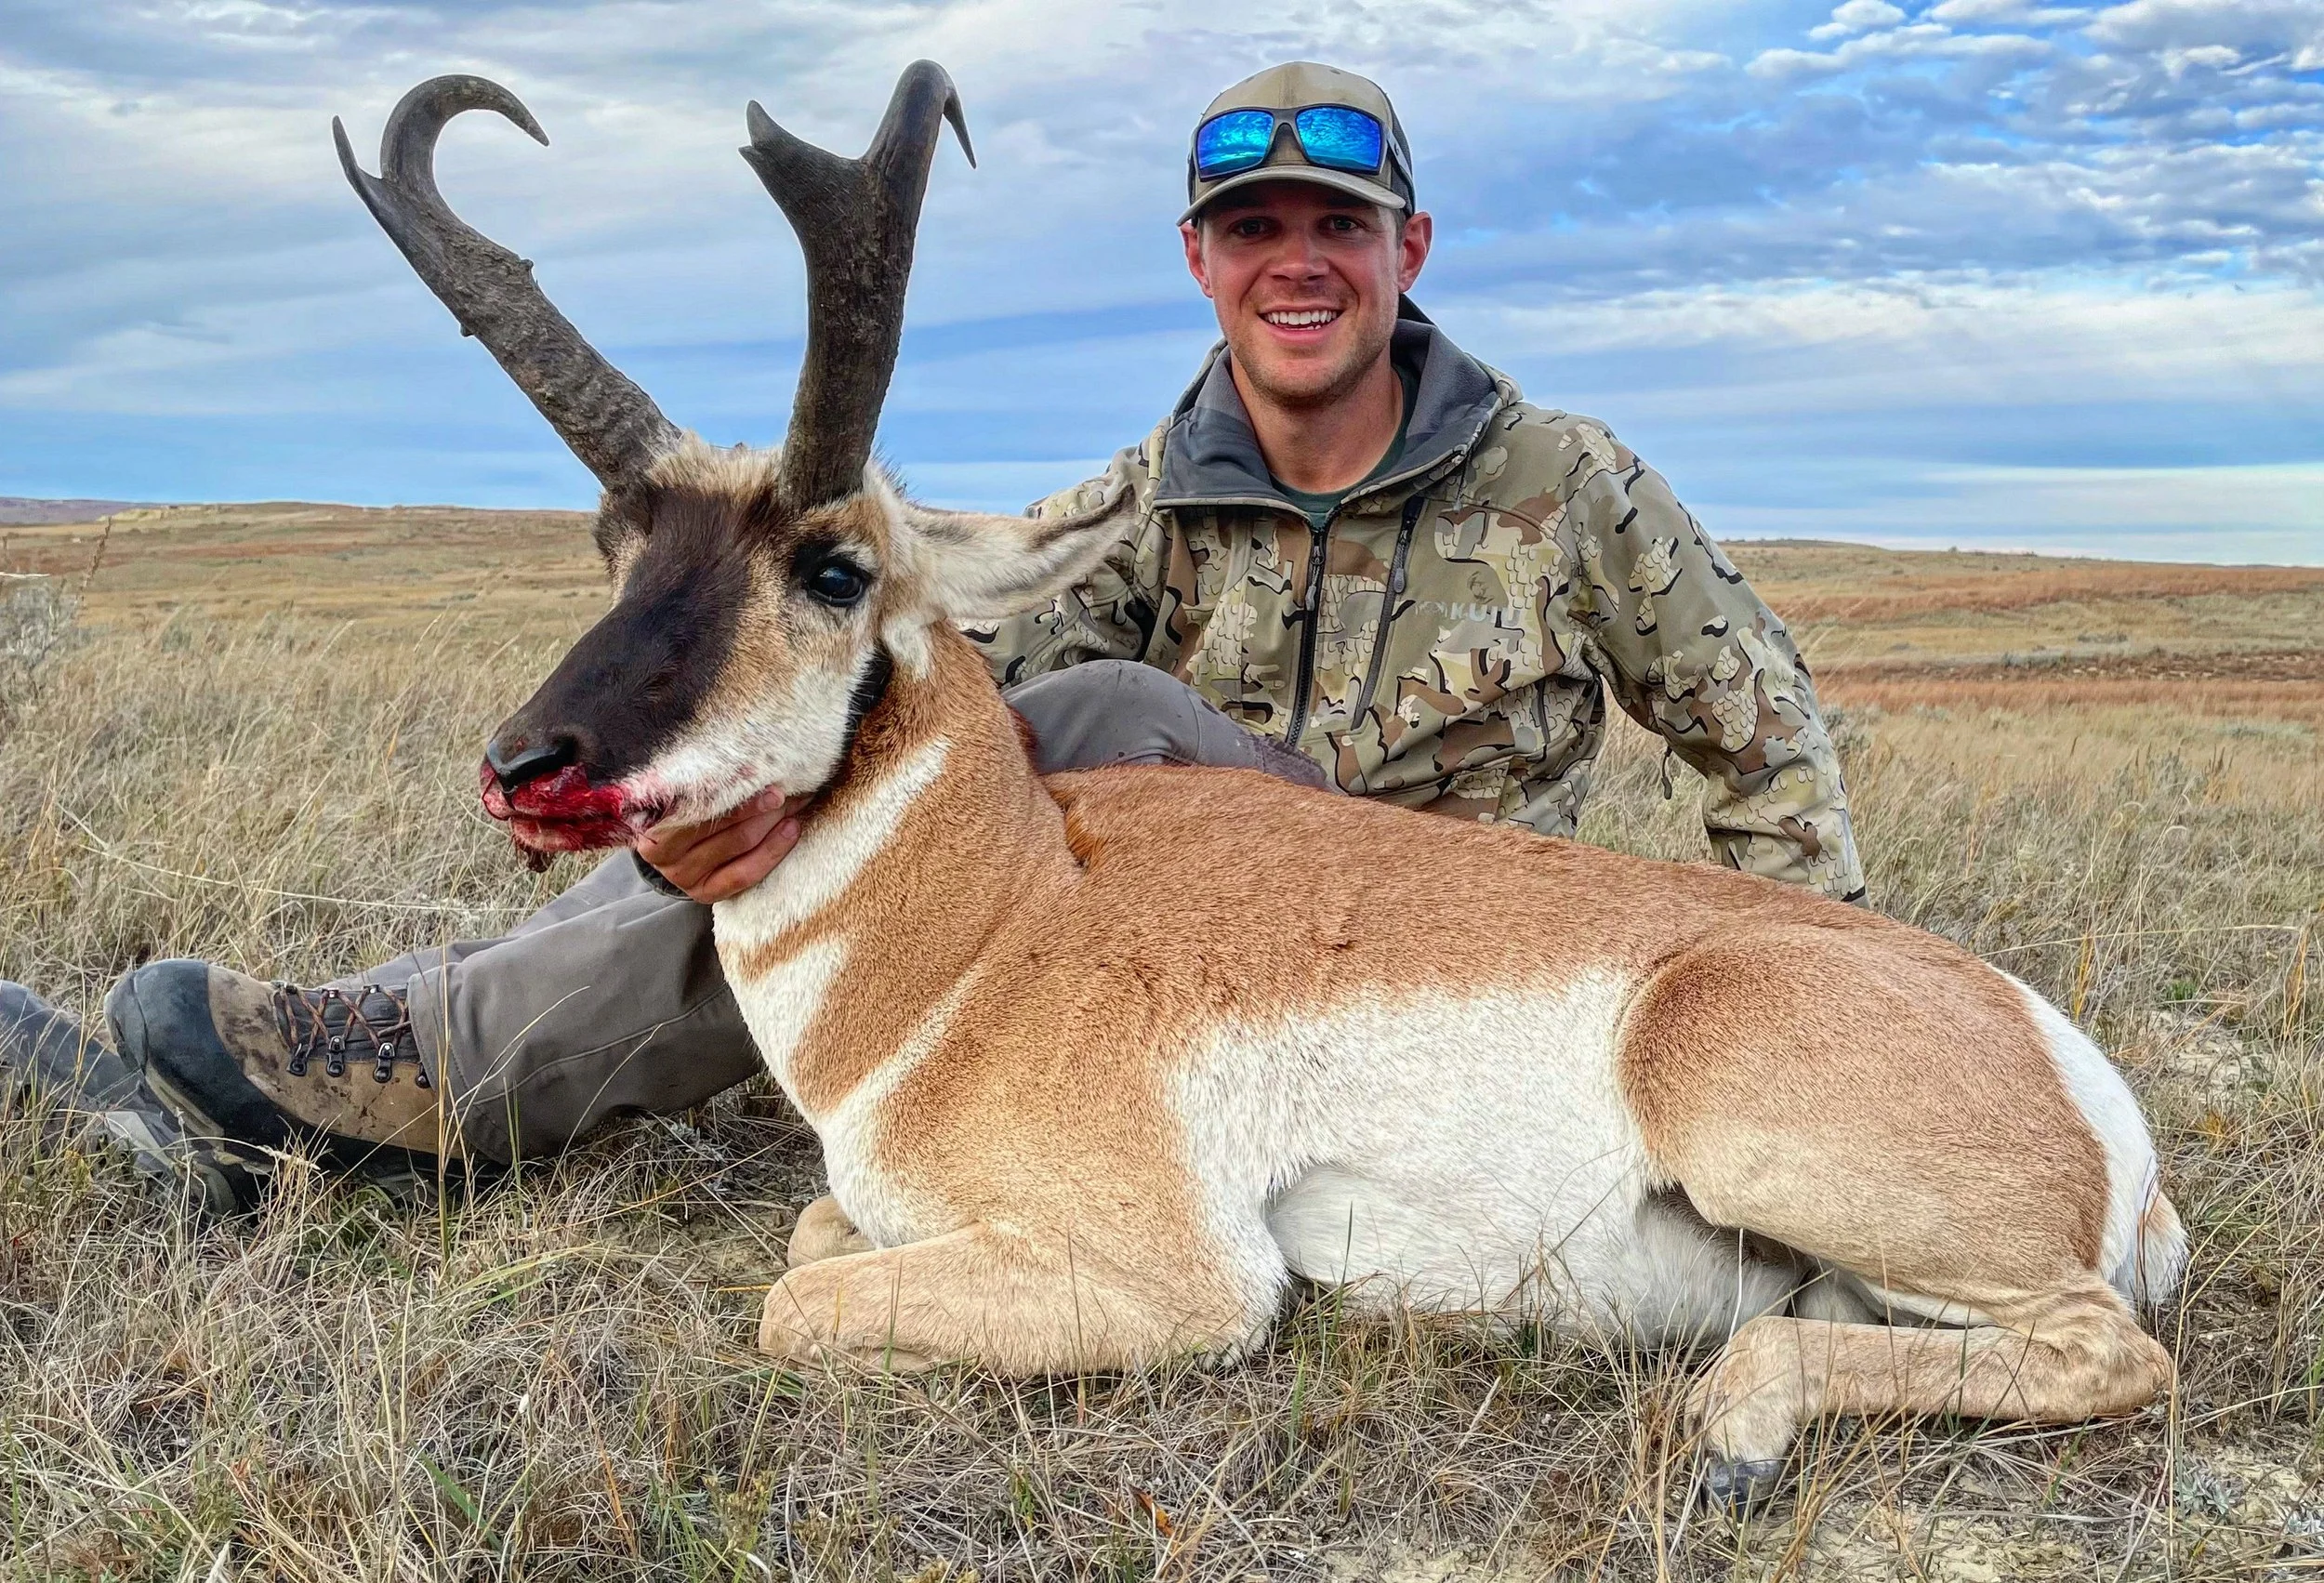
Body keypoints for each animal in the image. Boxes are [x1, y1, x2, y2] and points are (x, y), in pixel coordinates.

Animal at [337, 62, 2186, 1503]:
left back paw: (1732, 1424)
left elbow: (797, 1292)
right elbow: (812, 1237)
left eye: (834, 567)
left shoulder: (1182, 1279)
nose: (526, 766)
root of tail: (2078, 1080)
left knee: (2112, 1355)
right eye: (616, 546)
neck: (1002, 919)